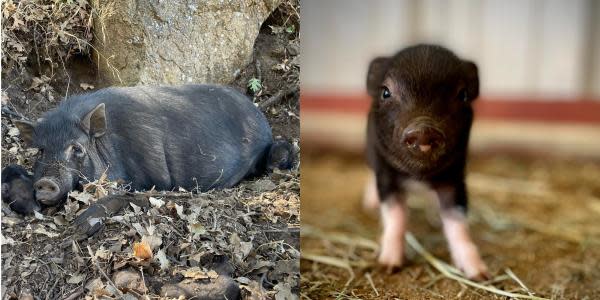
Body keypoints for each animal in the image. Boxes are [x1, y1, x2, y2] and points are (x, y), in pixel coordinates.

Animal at [364, 44, 490, 278]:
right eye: (385, 92)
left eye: (462, 94)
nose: (423, 129)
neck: (419, 177)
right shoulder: (386, 175)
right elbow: (396, 216)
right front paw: (387, 267)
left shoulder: (454, 178)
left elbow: (457, 221)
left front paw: (479, 274)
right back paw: (369, 203)